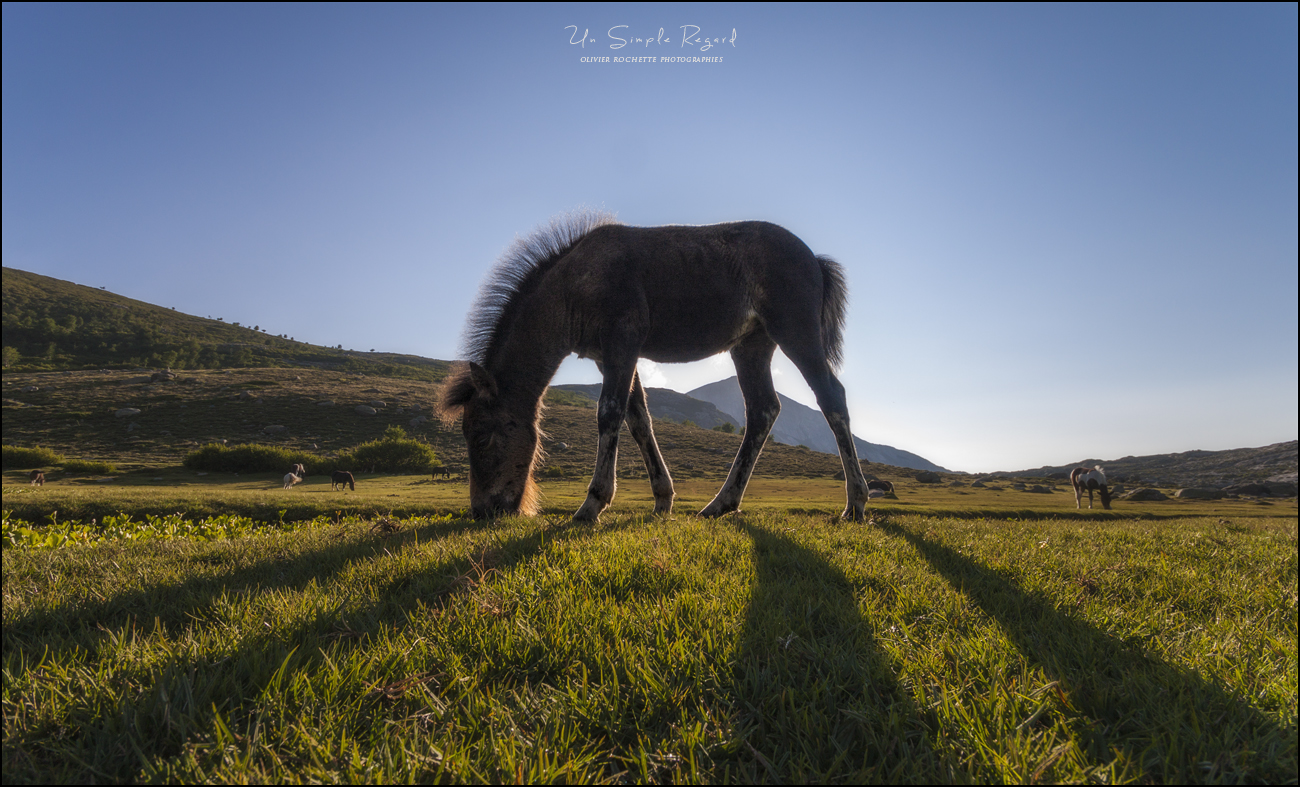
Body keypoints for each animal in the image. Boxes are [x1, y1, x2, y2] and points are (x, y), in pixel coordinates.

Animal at [439, 213, 873, 522]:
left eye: (482, 436)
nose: (482, 511)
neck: (574, 285)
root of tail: (814, 259)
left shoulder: (622, 343)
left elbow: (609, 414)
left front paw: (592, 504)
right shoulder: (609, 357)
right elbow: (638, 419)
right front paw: (662, 499)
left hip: (795, 332)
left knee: (831, 398)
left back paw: (855, 503)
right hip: (752, 346)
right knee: (763, 410)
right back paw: (721, 504)